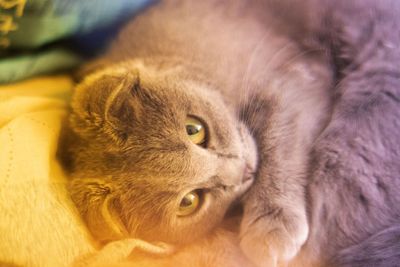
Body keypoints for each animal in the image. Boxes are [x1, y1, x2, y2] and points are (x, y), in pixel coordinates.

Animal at [60, 0, 400, 267]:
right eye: (189, 202)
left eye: (194, 129)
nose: (244, 170)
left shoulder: (293, 82)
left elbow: (280, 143)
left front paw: (272, 225)